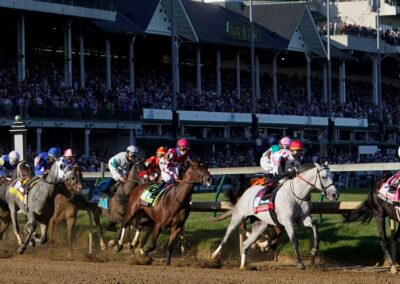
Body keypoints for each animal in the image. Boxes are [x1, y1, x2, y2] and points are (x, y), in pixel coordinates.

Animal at [211, 163, 340, 270]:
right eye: (324, 176)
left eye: (333, 176)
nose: (335, 195)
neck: (296, 195)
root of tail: (244, 192)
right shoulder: (287, 221)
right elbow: (294, 241)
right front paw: (299, 263)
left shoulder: (301, 219)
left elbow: (314, 226)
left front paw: (314, 251)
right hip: (238, 217)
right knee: (226, 238)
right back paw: (214, 256)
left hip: (260, 226)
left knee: (245, 244)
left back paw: (243, 265)